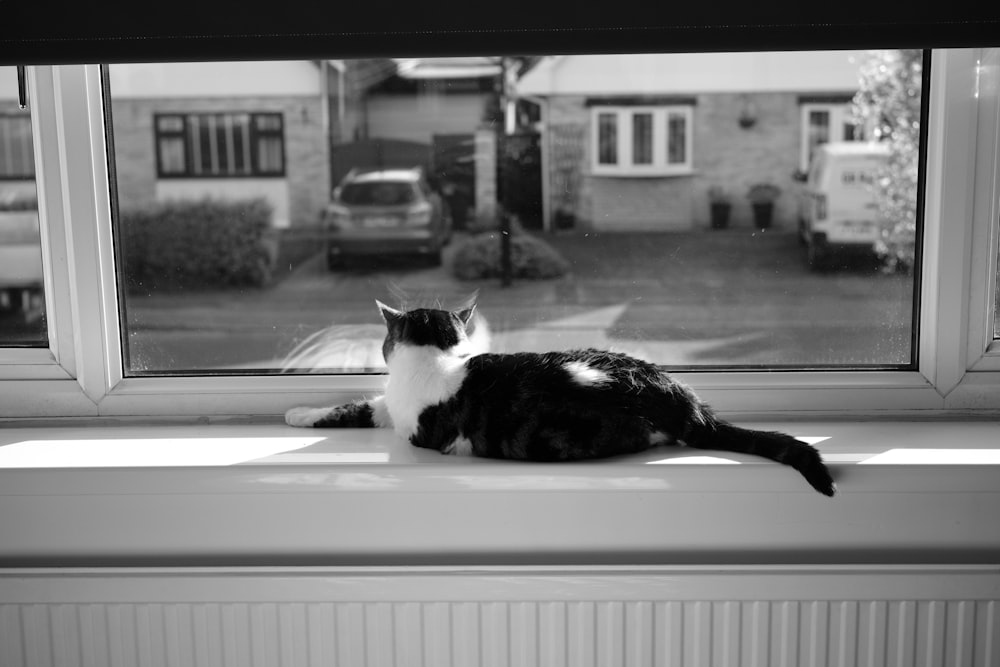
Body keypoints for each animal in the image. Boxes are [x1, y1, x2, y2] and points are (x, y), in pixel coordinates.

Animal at [284, 302, 836, 496]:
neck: (434, 359)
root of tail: (677, 397)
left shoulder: (414, 426)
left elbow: (356, 411)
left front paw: (296, 413)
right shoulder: (389, 404)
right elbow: (355, 405)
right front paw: (298, 412)